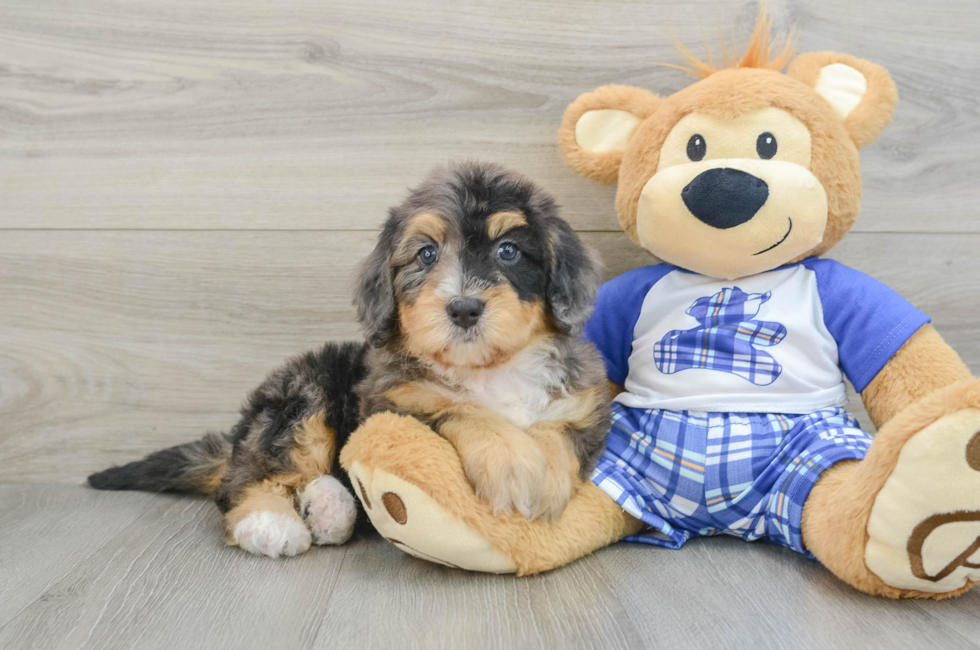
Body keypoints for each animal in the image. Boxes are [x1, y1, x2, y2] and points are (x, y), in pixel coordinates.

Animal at [92, 162, 612, 556]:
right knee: (252, 477)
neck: (488, 369)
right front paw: (512, 462)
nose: (464, 308)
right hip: (301, 397)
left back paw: (329, 507)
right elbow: (457, 406)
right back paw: (270, 522)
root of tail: (240, 433)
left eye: (508, 251)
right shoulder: (394, 400)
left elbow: (559, 431)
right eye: (426, 254)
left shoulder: (587, 406)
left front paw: (545, 477)